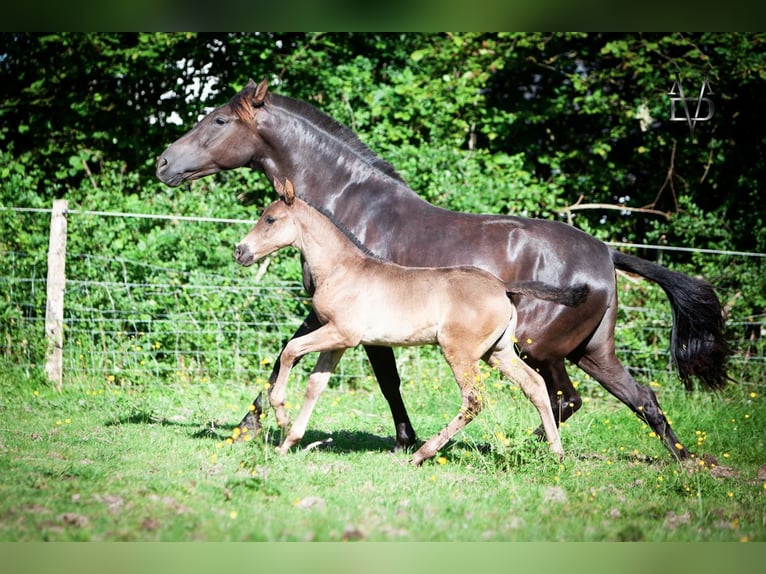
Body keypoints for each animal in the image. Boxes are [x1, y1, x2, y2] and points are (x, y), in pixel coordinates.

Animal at [236, 180, 588, 468]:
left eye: (270, 219)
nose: (240, 251)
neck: (341, 268)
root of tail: (503, 286)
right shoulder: (337, 342)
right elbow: (315, 384)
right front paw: (288, 442)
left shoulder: (343, 334)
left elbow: (290, 350)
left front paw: (280, 414)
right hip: (498, 352)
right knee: (536, 385)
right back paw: (557, 454)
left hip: (460, 353)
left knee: (474, 400)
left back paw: (422, 454)